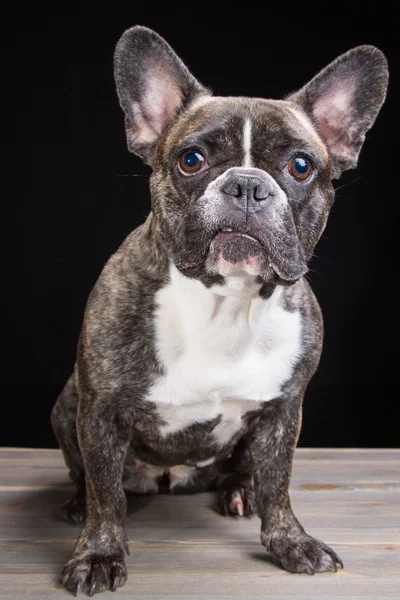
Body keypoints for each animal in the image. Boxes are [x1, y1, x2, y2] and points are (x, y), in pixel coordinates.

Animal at [51, 27, 390, 596]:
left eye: (301, 166)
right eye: (191, 159)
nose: (247, 185)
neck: (225, 301)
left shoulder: (284, 410)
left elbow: (279, 484)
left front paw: (291, 540)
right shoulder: (98, 410)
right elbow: (106, 493)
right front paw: (98, 553)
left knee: (247, 473)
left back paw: (239, 491)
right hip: (67, 403)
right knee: (93, 480)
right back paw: (78, 504)